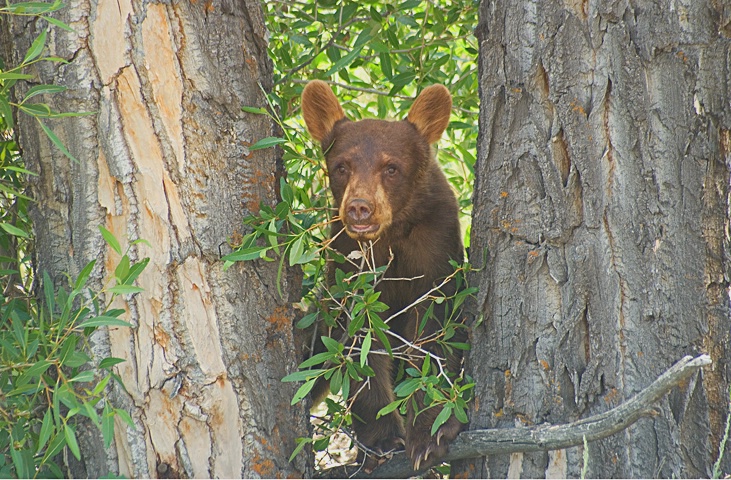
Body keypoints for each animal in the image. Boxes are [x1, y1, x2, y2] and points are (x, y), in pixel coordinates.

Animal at [300, 80, 466, 470]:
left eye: (391, 168)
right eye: (341, 166)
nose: (360, 207)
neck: (390, 236)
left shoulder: (436, 252)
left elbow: (435, 332)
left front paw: (431, 433)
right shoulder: (349, 266)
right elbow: (358, 347)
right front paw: (382, 440)